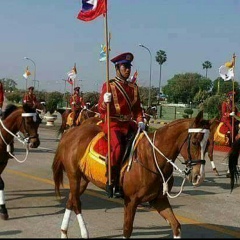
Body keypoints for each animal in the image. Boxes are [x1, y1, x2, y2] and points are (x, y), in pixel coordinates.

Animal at [52, 110, 210, 238]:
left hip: (83, 179)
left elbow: (176, 225)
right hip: (74, 176)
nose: (199, 177)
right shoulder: (131, 201)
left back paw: (64, 233)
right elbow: (127, 230)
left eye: (208, 144)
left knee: (71, 201)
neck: (151, 158)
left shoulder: (159, 199)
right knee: (77, 203)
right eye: (195, 142)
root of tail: (71, 133)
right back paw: (85, 233)